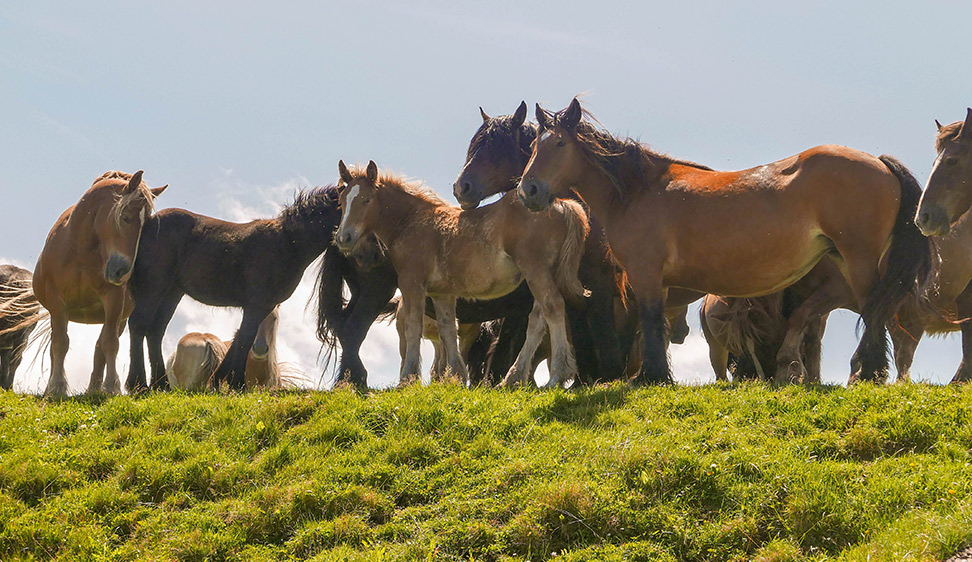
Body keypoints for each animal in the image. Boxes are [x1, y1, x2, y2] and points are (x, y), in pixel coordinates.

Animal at [23, 171, 167, 394]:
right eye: (125, 218)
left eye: (145, 228)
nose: (123, 272)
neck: (80, 250)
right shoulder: (57, 303)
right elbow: (60, 344)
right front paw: (56, 387)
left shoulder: (113, 301)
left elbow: (109, 344)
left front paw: (111, 386)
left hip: (118, 318)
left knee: (101, 347)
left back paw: (94, 388)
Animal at [128, 185, 342, 390]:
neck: (289, 243)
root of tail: (147, 225)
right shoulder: (256, 304)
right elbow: (245, 338)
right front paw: (237, 383)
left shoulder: (263, 306)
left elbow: (240, 337)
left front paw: (221, 379)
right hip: (153, 288)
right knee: (138, 324)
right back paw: (138, 384)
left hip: (172, 293)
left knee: (155, 331)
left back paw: (161, 384)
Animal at [334, 159, 592, 384]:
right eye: (342, 200)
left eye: (367, 200)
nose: (344, 238)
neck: (410, 222)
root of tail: (562, 204)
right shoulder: (442, 292)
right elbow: (448, 328)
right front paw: (456, 376)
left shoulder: (411, 282)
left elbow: (413, 327)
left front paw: (408, 379)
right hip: (546, 273)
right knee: (538, 320)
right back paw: (513, 378)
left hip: (536, 270)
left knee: (553, 308)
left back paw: (557, 376)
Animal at [452, 100, 696, 380]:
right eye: (474, 145)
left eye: (497, 148)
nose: (461, 188)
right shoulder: (575, 284)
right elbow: (580, 331)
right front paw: (583, 376)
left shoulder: (603, 283)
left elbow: (603, 330)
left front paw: (607, 372)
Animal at [516, 97, 936, 384]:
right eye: (534, 146)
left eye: (560, 145)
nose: (528, 190)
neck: (638, 191)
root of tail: (879, 162)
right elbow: (657, 325)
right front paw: (655, 374)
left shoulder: (646, 273)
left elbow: (650, 322)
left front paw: (651, 377)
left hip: (858, 259)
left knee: (875, 310)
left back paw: (869, 373)